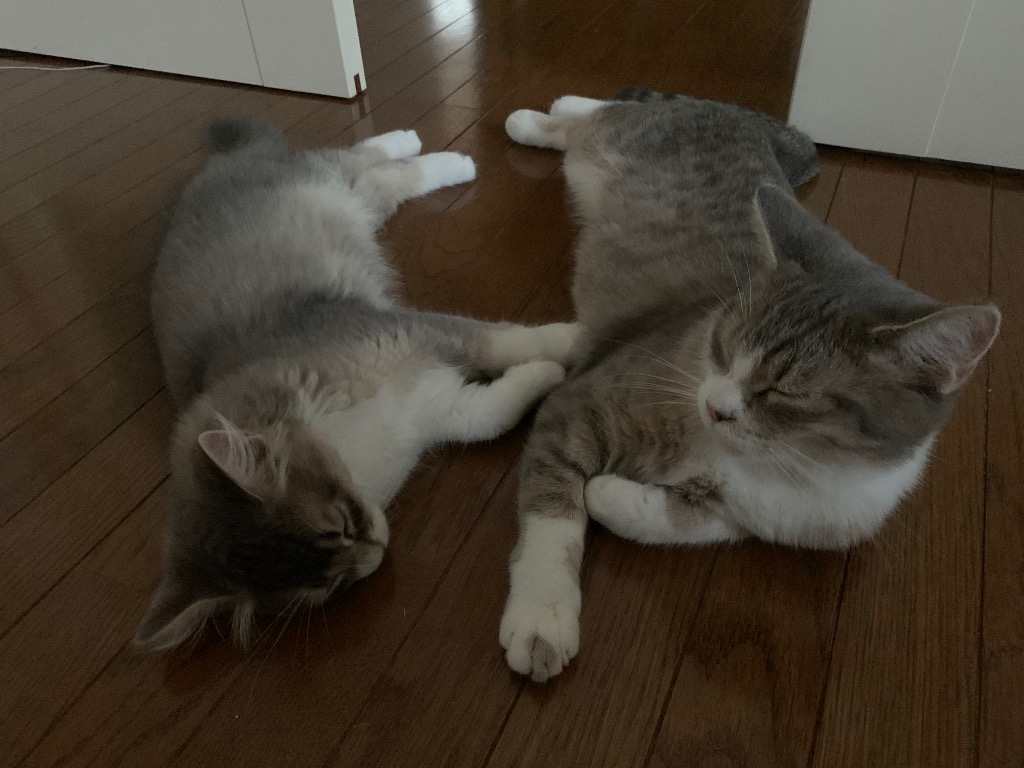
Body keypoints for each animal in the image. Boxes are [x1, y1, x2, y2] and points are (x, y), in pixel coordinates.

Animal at [135, 119, 578, 651]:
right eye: (327, 585)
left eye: (339, 528)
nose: (376, 554)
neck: (356, 452)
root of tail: (221, 163)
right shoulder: (439, 407)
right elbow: (498, 411)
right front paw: (549, 374)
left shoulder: (414, 333)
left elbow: (507, 341)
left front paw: (581, 337)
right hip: (359, 199)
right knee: (379, 174)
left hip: (334, 181)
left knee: (365, 159)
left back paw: (436, 152)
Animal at [497, 89, 1001, 681]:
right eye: (723, 345)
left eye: (786, 393)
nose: (715, 407)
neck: (788, 467)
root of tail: (736, 114)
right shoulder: (578, 405)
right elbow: (553, 514)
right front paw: (541, 614)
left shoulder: (778, 521)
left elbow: (693, 523)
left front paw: (611, 494)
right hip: (609, 141)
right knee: (589, 120)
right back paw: (537, 117)